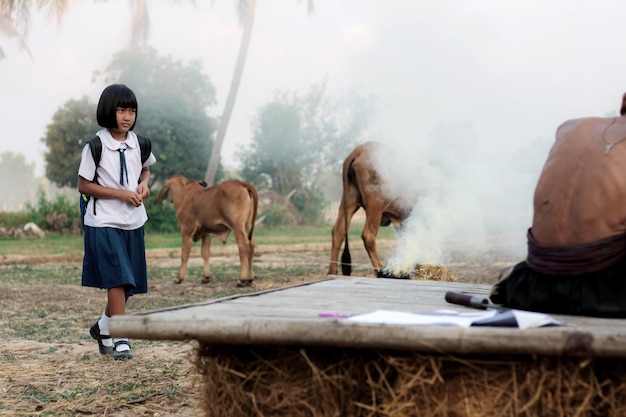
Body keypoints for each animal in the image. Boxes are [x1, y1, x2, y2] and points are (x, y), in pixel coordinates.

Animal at [326, 141, 410, 274]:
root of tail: (360, 150)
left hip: (348, 201)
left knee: (338, 232)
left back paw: (332, 271)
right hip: (375, 205)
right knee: (368, 236)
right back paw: (380, 270)